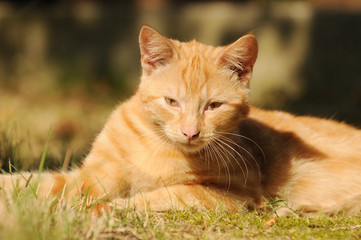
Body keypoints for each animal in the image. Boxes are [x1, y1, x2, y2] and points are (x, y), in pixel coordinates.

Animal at [2, 25, 360, 217]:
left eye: (213, 106)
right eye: (171, 102)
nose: (190, 132)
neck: (158, 146)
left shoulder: (234, 195)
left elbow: (162, 195)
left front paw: (115, 207)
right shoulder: (92, 176)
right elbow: (35, 183)